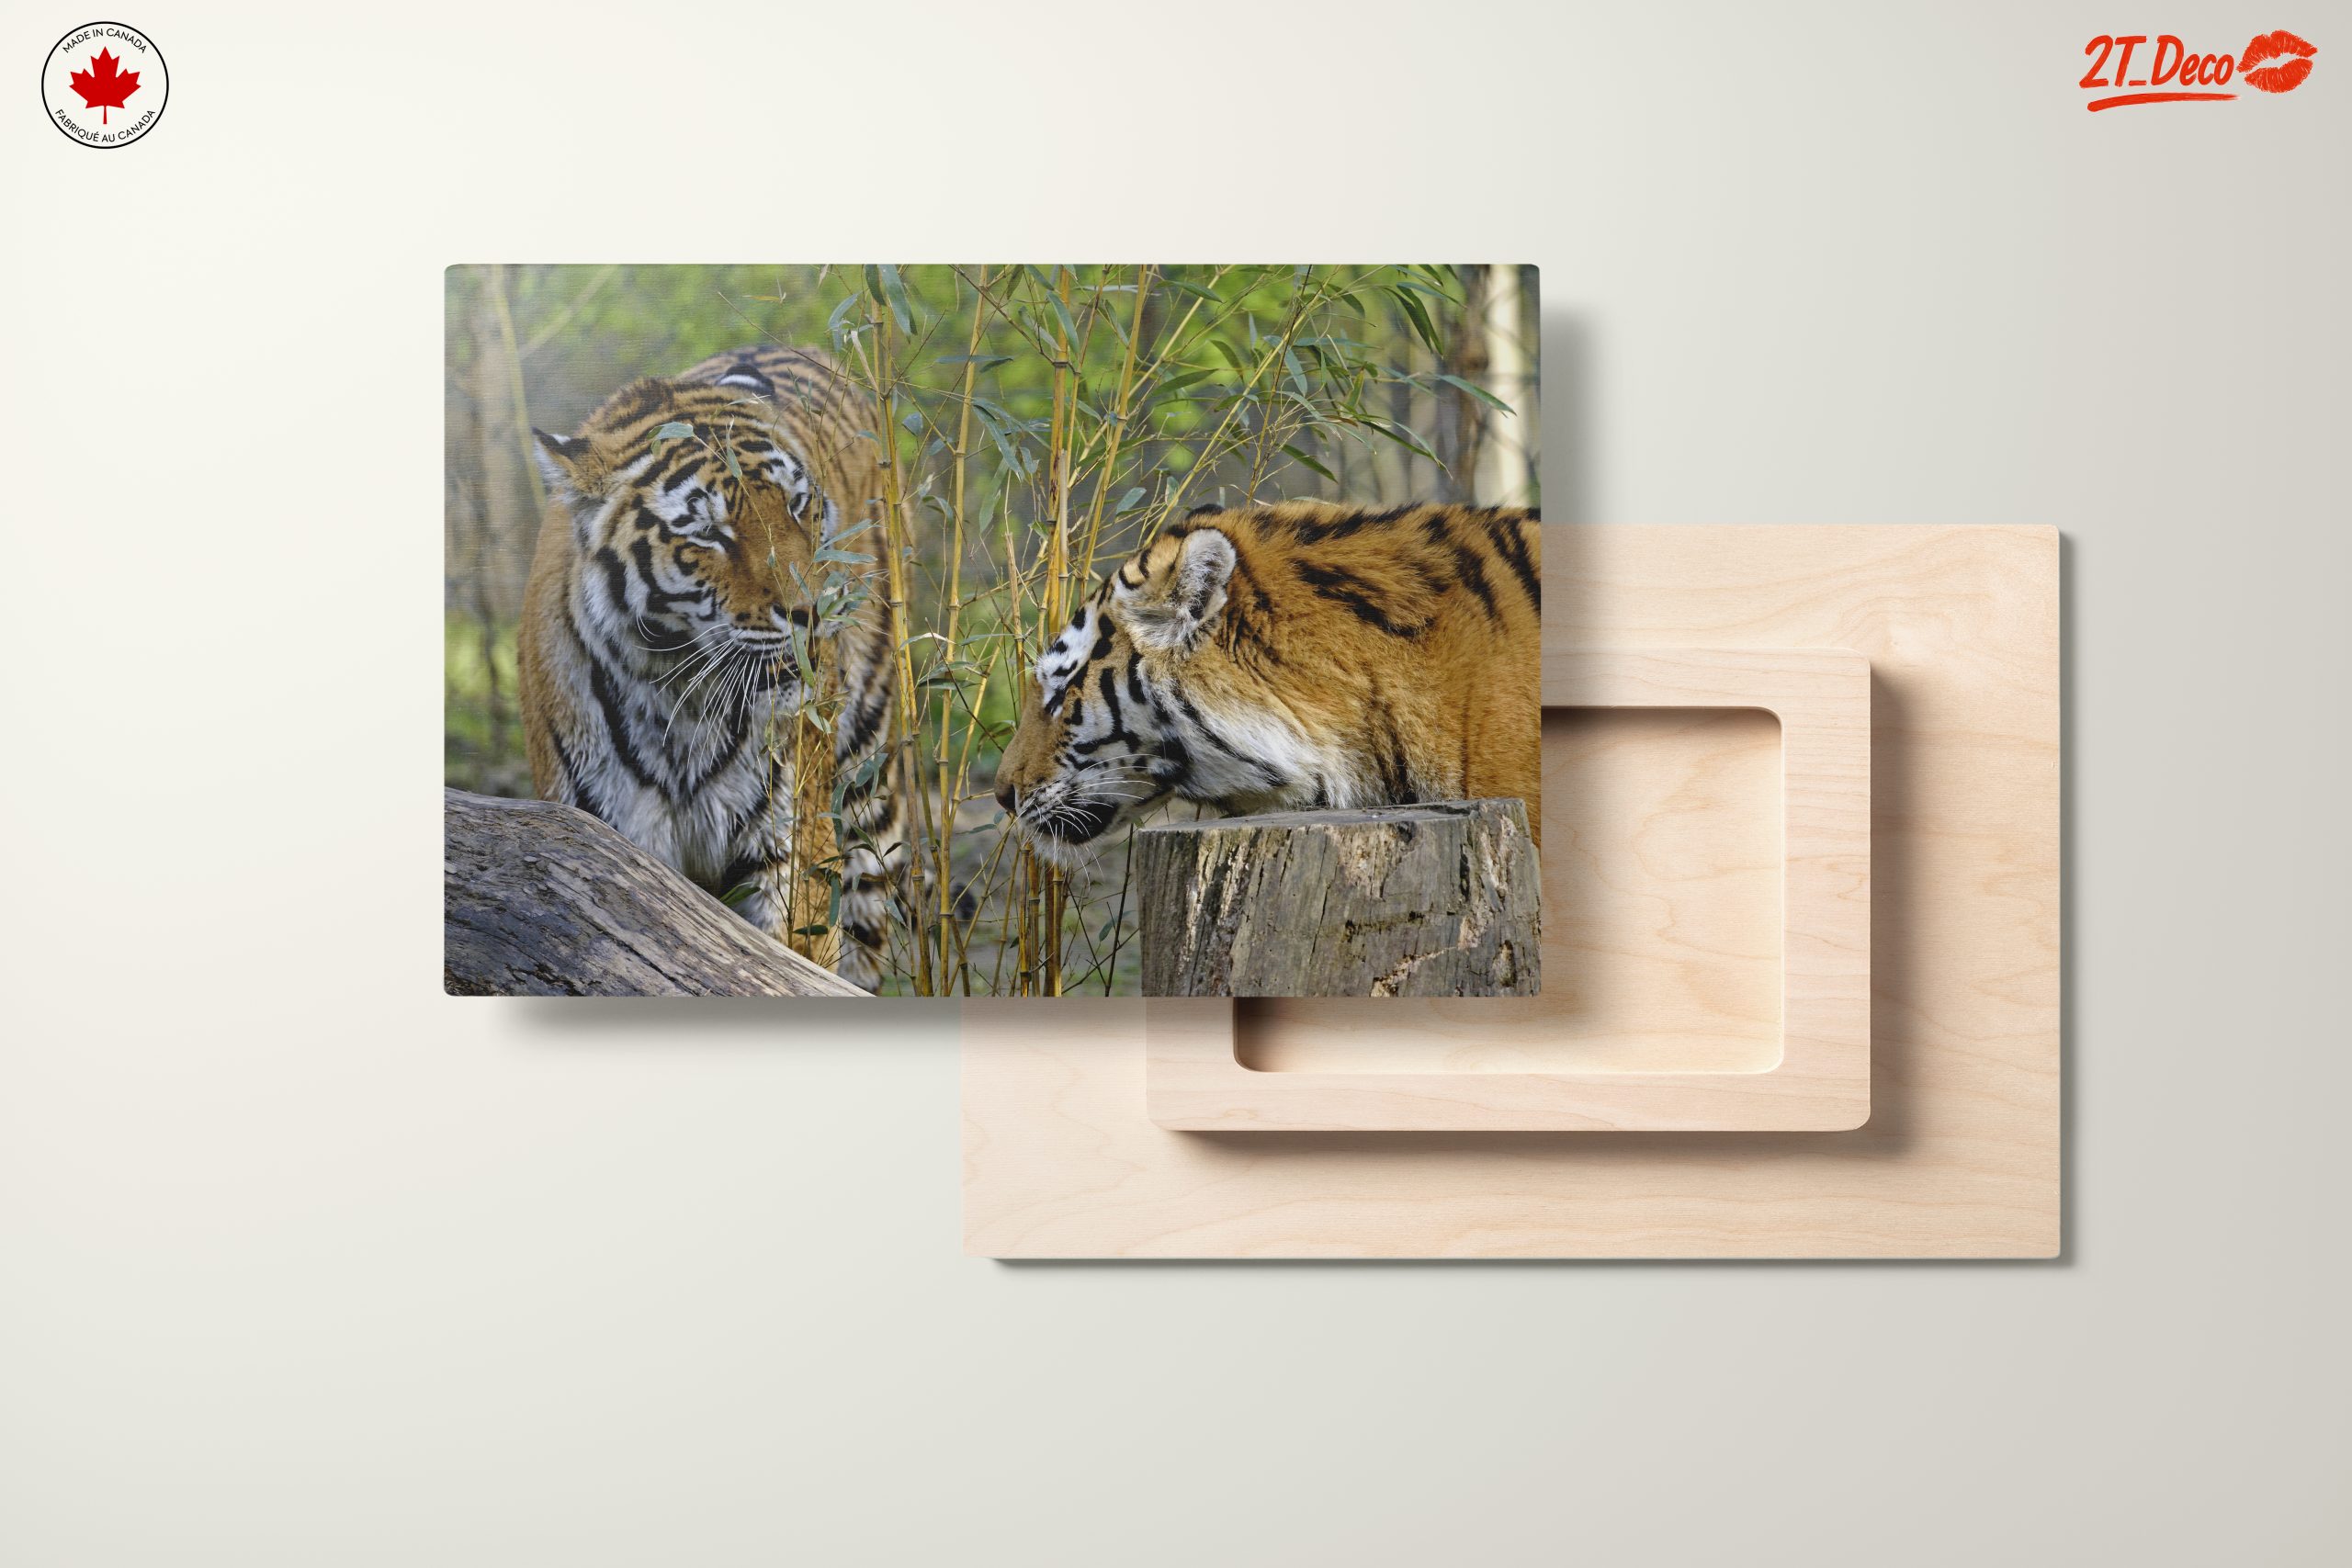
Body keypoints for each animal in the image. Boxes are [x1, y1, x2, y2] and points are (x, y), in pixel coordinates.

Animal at [518, 344, 905, 991]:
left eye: (797, 503)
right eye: (708, 532)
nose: (813, 613)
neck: (677, 694)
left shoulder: (790, 852)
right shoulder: (607, 844)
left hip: (867, 782)